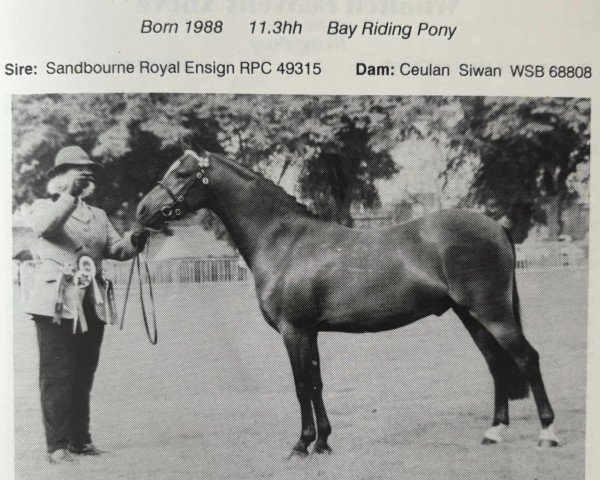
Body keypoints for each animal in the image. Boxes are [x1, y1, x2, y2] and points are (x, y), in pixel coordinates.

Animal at [136, 149, 556, 458]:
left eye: (181, 174)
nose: (142, 211)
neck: (284, 242)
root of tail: (497, 225)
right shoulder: (310, 332)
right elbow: (317, 383)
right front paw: (323, 442)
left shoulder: (293, 331)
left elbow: (301, 385)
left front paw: (301, 445)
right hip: (471, 315)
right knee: (496, 363)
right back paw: (493, 433)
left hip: (492, 312)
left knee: (526, 358)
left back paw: (547, 434)